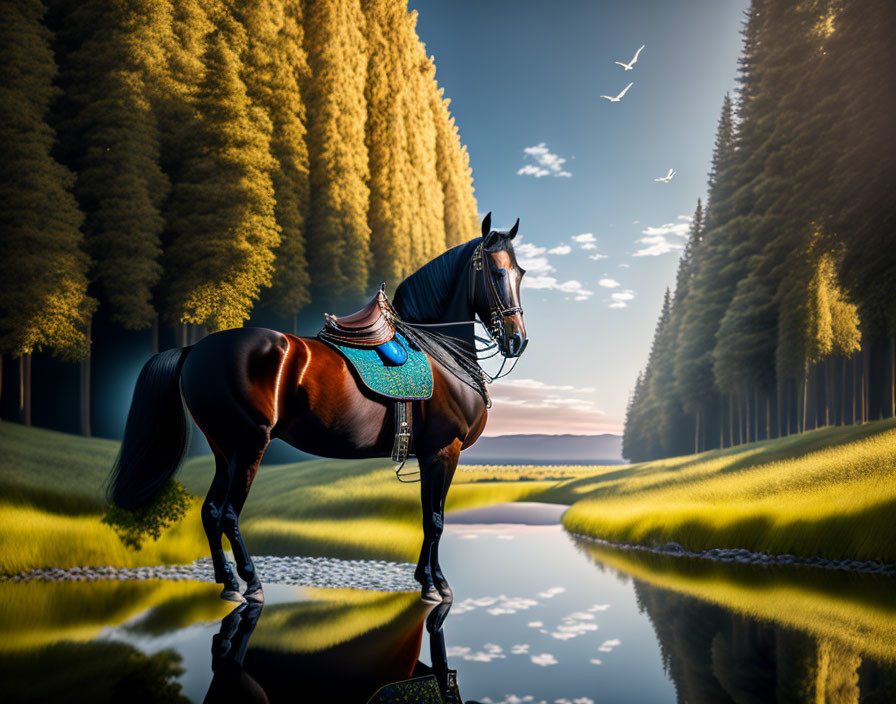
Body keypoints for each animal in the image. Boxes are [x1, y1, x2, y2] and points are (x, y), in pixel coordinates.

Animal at [107, 212, 524, 604]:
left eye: (519, 272)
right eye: (496, 271)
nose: (517, 339)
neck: (440, 352)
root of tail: (196, 347)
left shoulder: (431, 455)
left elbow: (429, 517)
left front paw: (429, 579)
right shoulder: (443, 451)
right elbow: (435, 520)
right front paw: (435, 586)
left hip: (223, 450)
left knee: (210, 512)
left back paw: (228, 583)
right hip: (248, 446)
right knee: (228, 514)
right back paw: (251, 583)